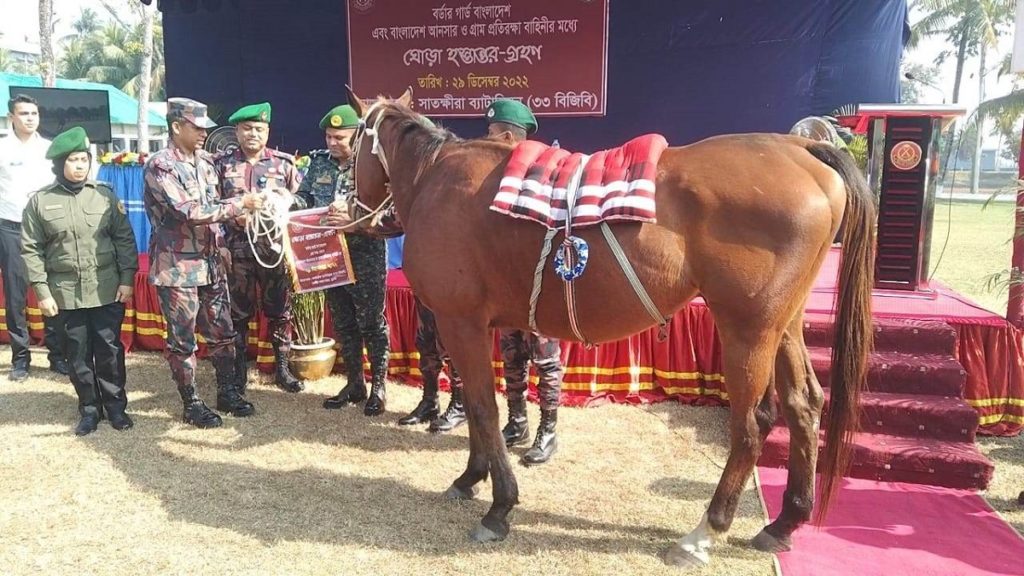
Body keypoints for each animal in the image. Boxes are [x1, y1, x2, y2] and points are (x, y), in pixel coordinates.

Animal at [344, 87, 874, 568]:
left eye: (349, 148)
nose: (351, 210)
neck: (434, 179)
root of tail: (799, 149)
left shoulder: (461, 323)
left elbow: (483, 409)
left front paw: (499, 506)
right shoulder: (479, 327)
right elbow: (480, 409)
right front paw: (471, 478)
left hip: (747, 330)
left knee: (752, 425)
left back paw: (704, 532)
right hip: (783, 325)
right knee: (804, 404)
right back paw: (784, 521)